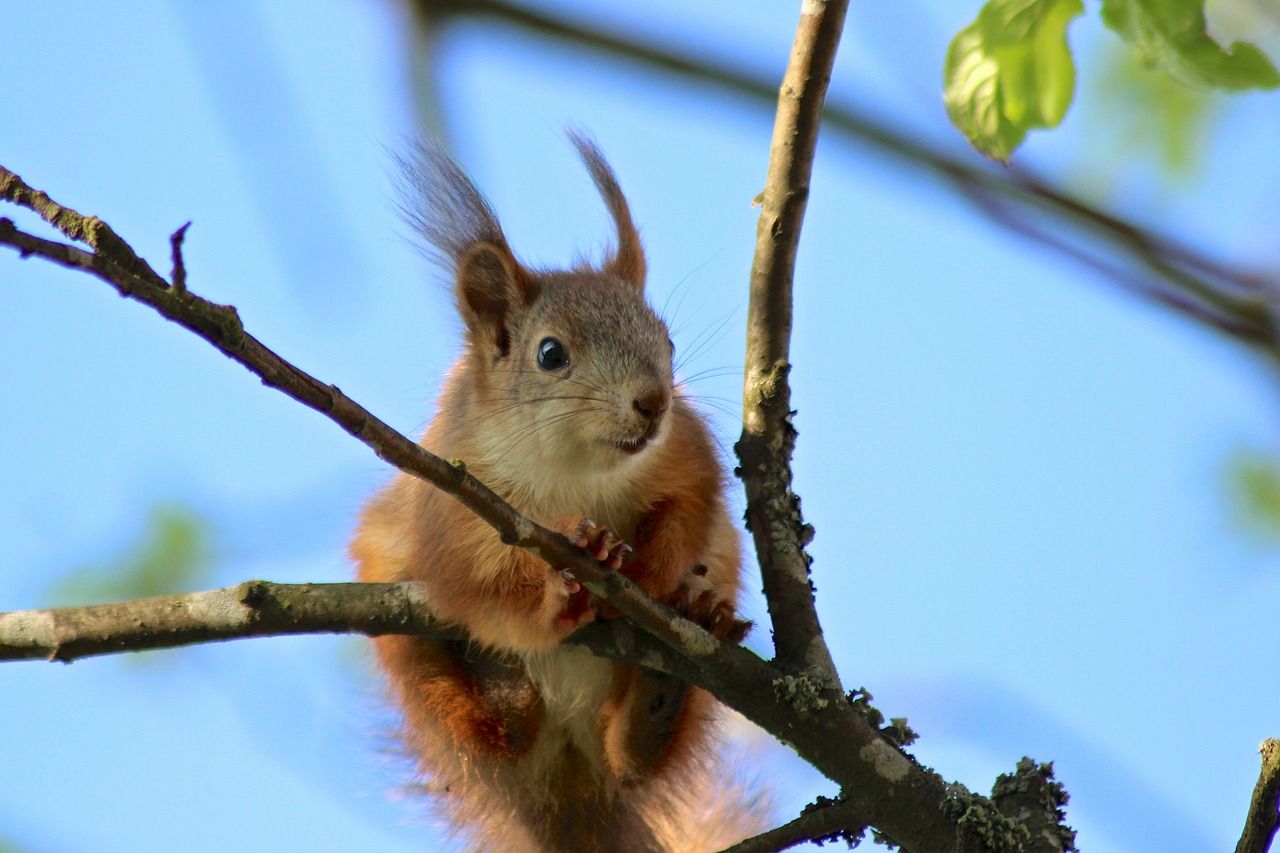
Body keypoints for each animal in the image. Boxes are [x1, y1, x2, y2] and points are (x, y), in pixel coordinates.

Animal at [345, 134, 752, 850]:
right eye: (551, 354)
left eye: (667, 340)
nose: (653, 403)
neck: (570, 475)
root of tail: (568, 789)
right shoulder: (449, 496)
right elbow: (480, 585)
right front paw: (558, 591)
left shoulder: (686, 455)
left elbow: (686, 511)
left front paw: (645, 573)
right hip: (405, 642)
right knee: (489, 732)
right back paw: (501, 691)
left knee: (632, 762)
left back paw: (668, 678)